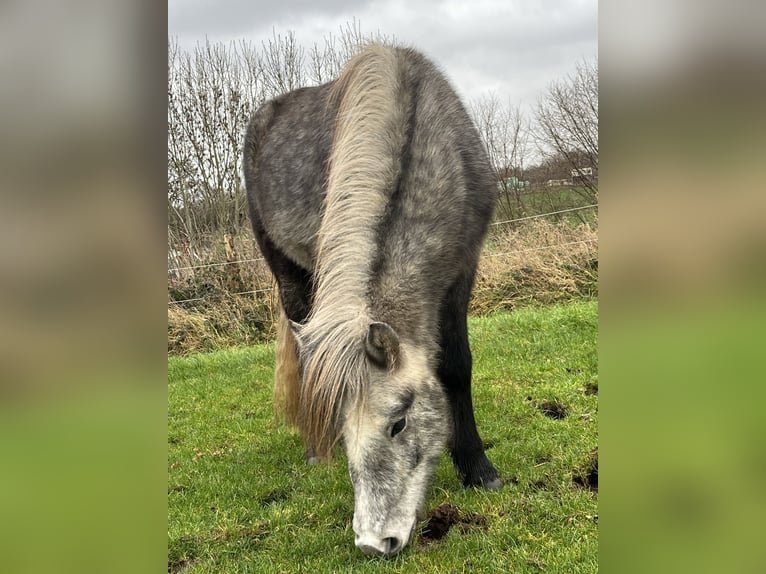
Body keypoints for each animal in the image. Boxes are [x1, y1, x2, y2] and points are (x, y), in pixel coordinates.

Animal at [243, 44, 501, 557]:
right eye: (347, 433)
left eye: (398, 423)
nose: (373, 542)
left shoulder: (464, 268)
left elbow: (457, 366)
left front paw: (479, 470)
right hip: (288, 273)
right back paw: (312, 451)